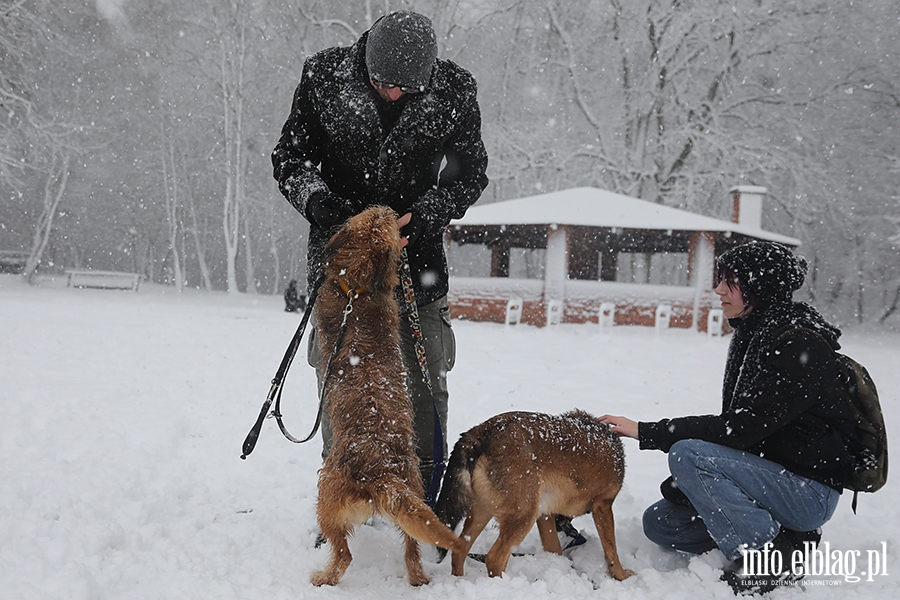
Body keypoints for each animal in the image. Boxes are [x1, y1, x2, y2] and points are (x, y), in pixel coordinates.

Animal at [312, 206, 464, 584]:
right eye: (371, 215)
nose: (390, 208)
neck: (356, 284)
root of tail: (381, 473)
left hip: (326, 498)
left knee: (344, 554)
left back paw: (323, 577)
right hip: (414, 500)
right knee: (412, 550)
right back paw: (419, 579)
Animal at [434, 408, 632, 580]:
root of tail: (481, 431)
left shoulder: (545, 514)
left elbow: (554, 548)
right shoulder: (603, 504)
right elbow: (611, 549)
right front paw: (620, 575)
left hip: (483, 511)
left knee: (460, 550)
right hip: (523, 515)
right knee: (494, 559)